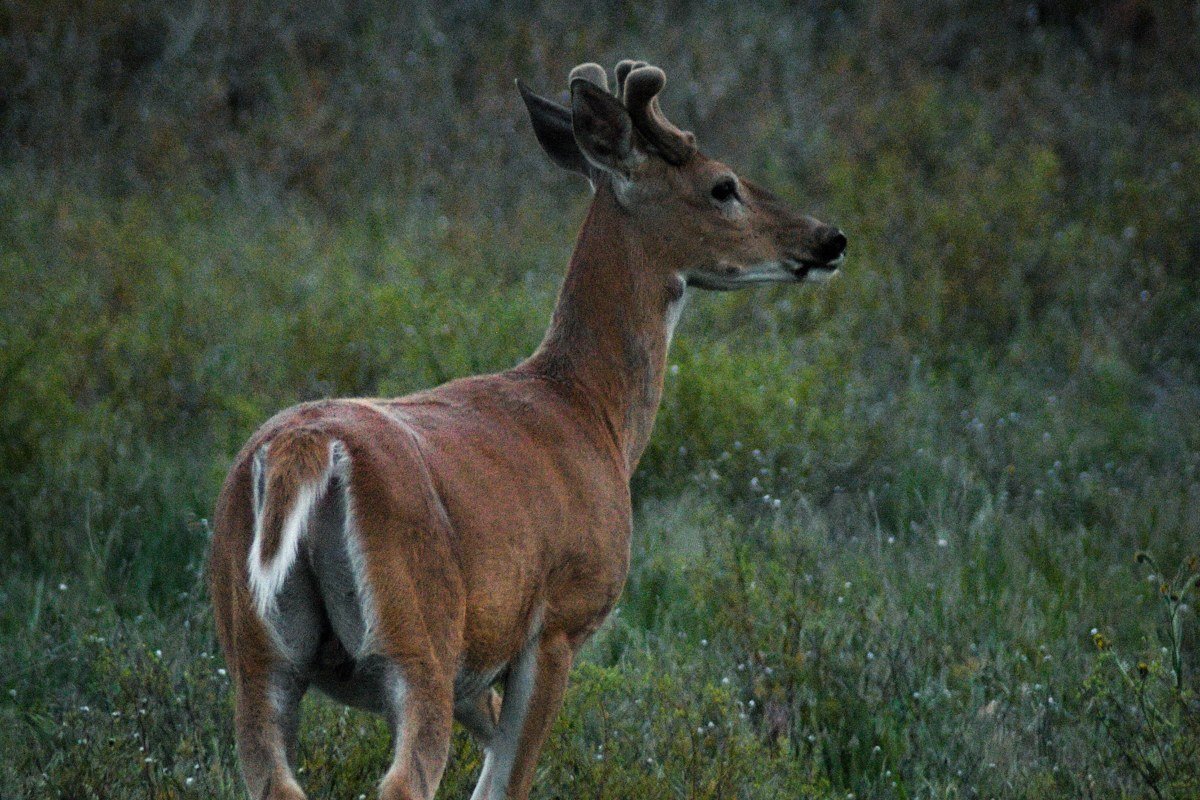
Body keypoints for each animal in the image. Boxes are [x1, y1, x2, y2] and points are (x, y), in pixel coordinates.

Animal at [208, 59, 846, 800]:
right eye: (723, 185)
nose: (829, 238)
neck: (589, 412)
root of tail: (304, 451)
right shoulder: (560, 620)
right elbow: (506, 782)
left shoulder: (477, 669)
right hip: (414, 638)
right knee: (402, 781)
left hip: (256, 655)